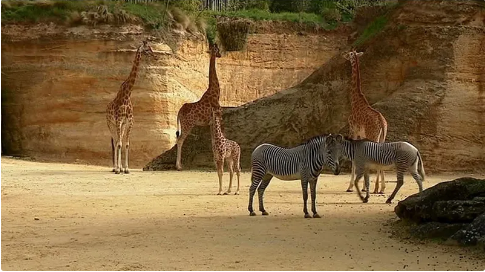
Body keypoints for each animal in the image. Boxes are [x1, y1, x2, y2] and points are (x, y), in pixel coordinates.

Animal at [105, 40, 155, 174]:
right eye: (148, 48)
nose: (154, 55)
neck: (127, 95)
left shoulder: (129, 121)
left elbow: (126, 144)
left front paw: (126, 169)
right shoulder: (118, 120)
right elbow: (119, 144)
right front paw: (118, 169)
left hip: (121, 125)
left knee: (119, 140)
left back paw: (120, 168)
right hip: (110, 123)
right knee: (115, 141)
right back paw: (115, 168)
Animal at [175, 42, 222, 170]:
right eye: (218, 50)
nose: (220, 55)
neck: (215, 93)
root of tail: (179, 112)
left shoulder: (210, 122)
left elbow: (213, 140)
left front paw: (214, 163)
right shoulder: (218, 117)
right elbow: (215, 139)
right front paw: (216, 164)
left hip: (184, 125)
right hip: (188, 125)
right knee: (180, 140)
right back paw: (179, 166)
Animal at [342, 49, 388, 193]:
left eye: (349, 53)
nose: (343, 55)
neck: (355, 100)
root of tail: (381, 122)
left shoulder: (353, 131)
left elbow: (354, 157)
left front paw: (351, 186)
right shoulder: (362, 135)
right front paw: (363, 187)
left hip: (373, 136)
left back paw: (377, 188)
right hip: (382, 138)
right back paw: (381, 188)